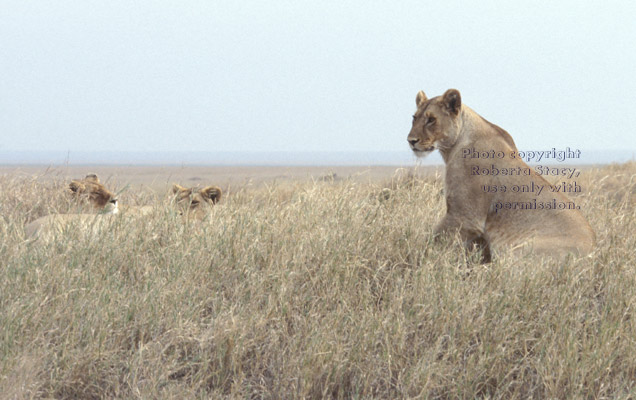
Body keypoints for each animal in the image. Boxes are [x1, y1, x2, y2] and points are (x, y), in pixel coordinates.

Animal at [408, 89, 596, 260]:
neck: (454, 145)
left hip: (519, 249)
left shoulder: (465, 216)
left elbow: (433, 241)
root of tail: (593, 255)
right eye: (414, 118)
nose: (411, 141)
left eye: (431, 119)